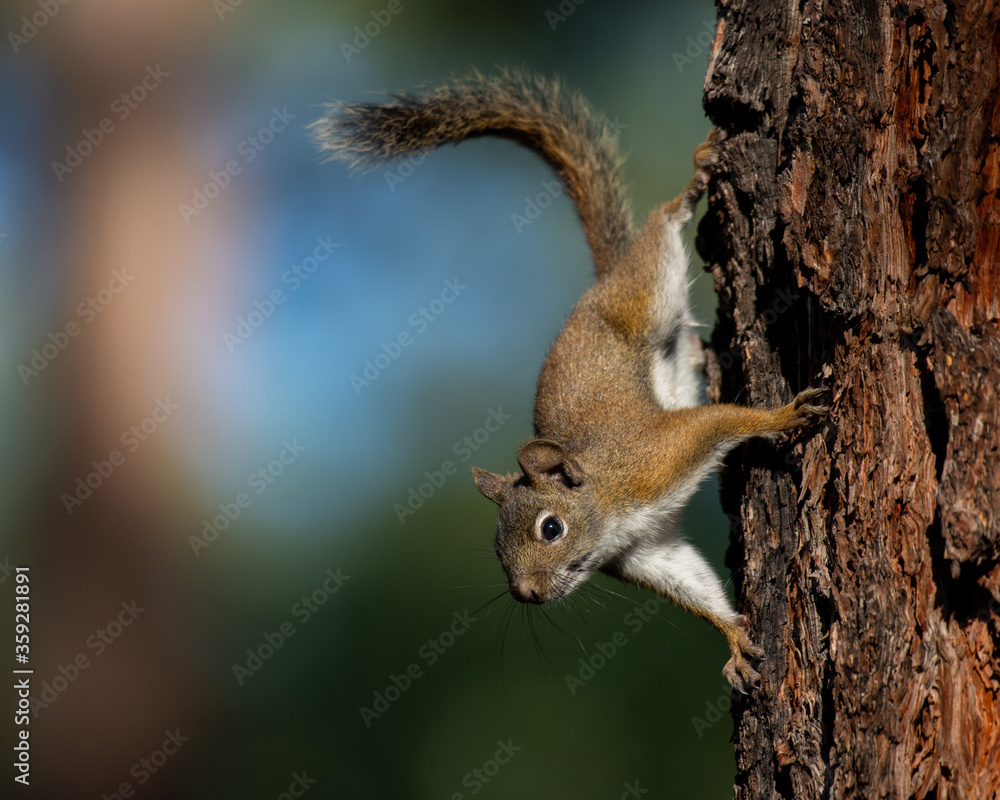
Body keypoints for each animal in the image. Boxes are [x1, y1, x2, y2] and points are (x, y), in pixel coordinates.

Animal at [313, 69, 828, 693]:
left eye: (551, 529)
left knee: (662, 226)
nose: (527, 594)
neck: (608, 506)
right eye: (496, 548)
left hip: (641, 292)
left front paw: (784, 415)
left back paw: (695, 178)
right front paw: (732, 637)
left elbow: (722, 422)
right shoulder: (647, 552)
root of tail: (599, 284)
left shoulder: (659, 456)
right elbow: (692, 584)